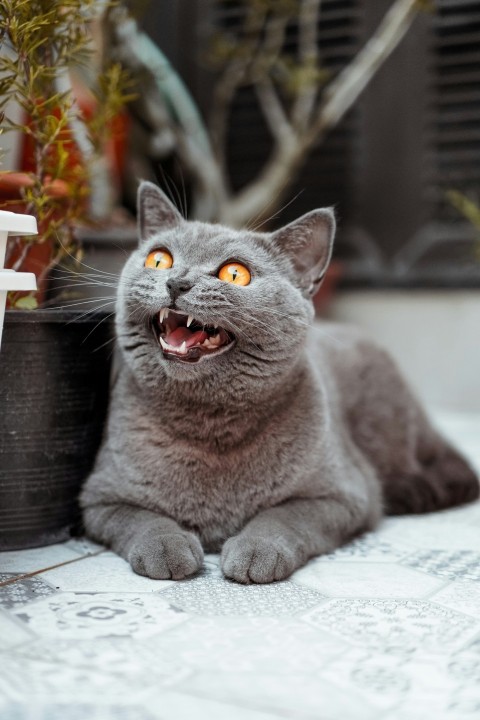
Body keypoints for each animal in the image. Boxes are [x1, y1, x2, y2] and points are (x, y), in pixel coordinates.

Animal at [79, 183, 480, 584]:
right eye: (158, 259)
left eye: (235, 274)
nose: (177, 281)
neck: (209, 424)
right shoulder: (100, 497)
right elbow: (141, 518)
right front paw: (167, 548)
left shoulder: (343, 493)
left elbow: (285, 515)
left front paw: (256, 551)